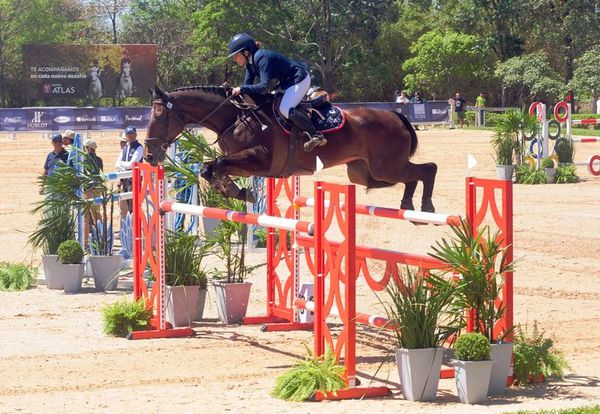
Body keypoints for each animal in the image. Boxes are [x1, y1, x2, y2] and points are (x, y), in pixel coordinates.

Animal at [144, 85, 438, 212]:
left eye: (158, 117)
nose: (149, 156)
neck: (234, 117)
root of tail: (395, 115)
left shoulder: (260, 160)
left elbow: (216, 164)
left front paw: (238, 192)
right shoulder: (245, 163)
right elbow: (209, 167)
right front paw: (236, 191)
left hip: (385, 167)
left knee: (428, 169)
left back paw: (425, 206)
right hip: (364, 174)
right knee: (411, 176)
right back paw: (409, 205)